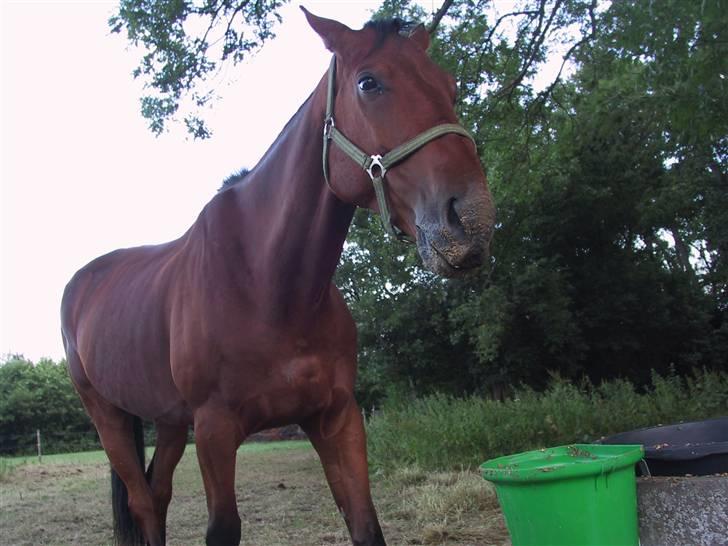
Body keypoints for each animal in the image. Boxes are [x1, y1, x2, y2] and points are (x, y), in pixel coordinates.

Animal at [61, 8, 494, 544]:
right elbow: (222, 528)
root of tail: (81, 285)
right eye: (368, 83)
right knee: (142, 500)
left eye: (450, 86)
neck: (271, 286)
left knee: (156, 496)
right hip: (108, 417)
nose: (471, 222)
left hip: (168, 420)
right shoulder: (214, 430)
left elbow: (365, 523)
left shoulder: (336, 418)